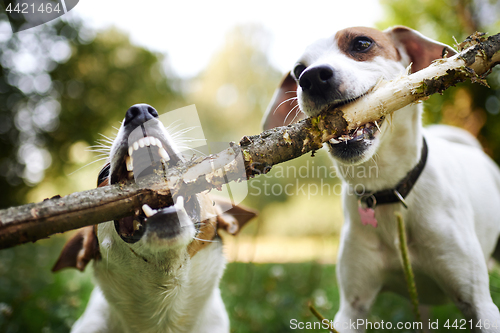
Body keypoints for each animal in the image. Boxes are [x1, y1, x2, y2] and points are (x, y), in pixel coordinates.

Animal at [264, 26, 500, 332]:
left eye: (362, 43)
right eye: (297, 70)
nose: (312, 78)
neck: (388, 190)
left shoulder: (479, 304)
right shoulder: (352, 308)